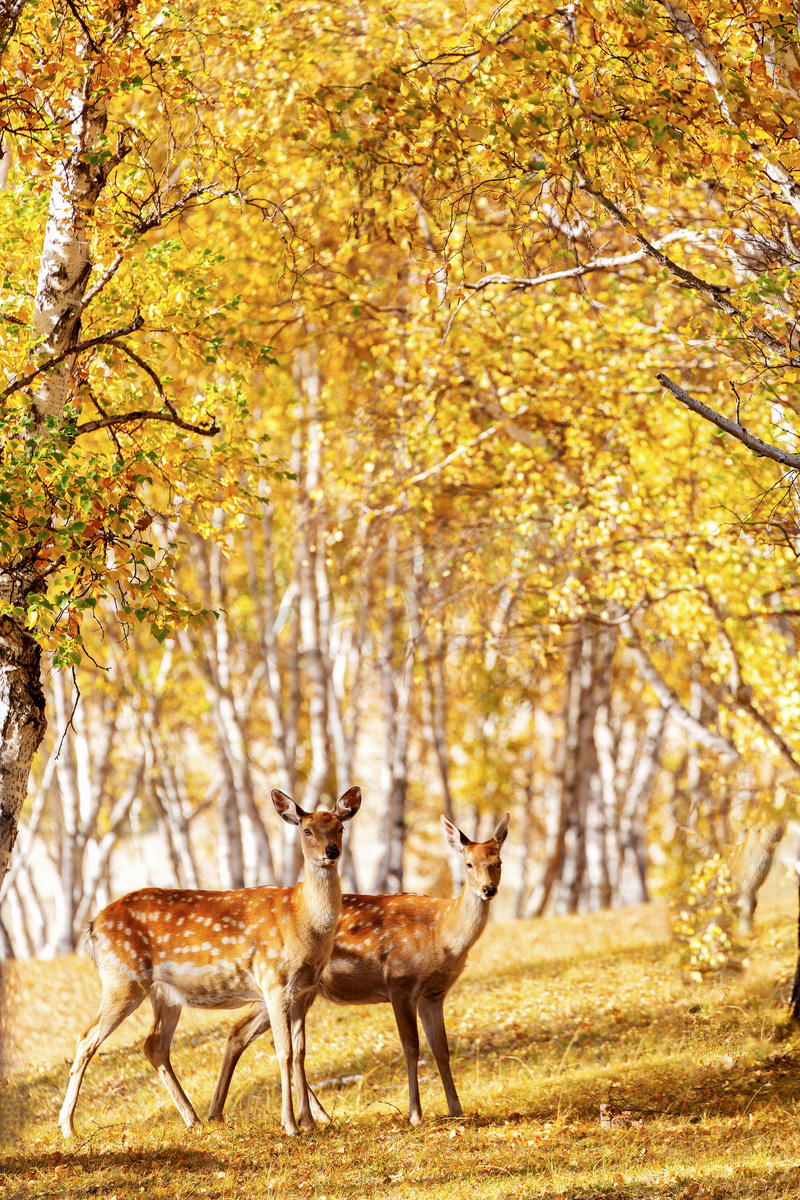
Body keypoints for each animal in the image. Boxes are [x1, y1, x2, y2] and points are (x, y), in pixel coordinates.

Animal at [61, 782, 362, 1137]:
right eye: (307, 830)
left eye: (340, 827)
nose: (331, 852)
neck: (303, 920)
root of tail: (92, 927)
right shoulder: (272, 979)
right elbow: (285, 1051)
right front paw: (291, 1125)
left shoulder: (303, 989)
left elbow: (300, 1052)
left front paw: (310, 1122)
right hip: (123, 979)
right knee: (86, 1038)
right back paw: (67, 1127)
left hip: (164, 994)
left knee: (154, 1045)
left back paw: (193, 1118)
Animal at [209, 811, 510, 1128]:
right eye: (469, 864)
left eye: (499, 861)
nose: (489, 889)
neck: (441, 933)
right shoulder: (400, 981)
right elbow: (411, 1047)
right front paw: (415, 1114)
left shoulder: (434, 993)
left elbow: (441, 1049)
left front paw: (456, 1110)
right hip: (284, 983)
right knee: (255, 1035)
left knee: (242, 1032)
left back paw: (226, 1112)